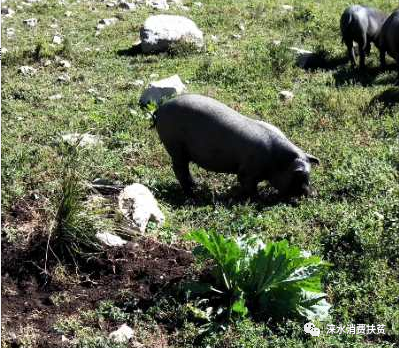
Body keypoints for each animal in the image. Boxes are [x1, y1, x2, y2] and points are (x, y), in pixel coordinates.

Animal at [155, 95, 320, 197]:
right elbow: (248, 185)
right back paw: (193, 190)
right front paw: (256, 197)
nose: (311, 193)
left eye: (309, 175)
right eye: (298, 176)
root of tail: (160, 109)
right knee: (179, 169)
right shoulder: (247, 171)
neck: (276, 160)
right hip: (175, 146)